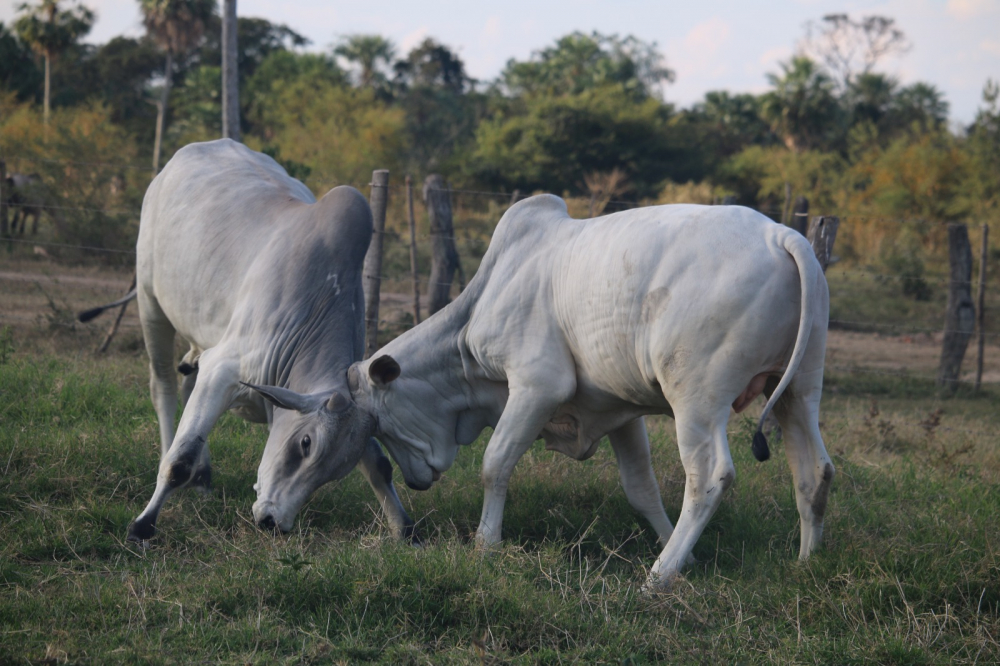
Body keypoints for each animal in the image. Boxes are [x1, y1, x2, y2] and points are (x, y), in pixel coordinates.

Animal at [113, 139, 414, 540]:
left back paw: (203, 478)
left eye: (337, 470)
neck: (315, 306)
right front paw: (143, 524)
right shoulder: (223, 368)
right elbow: (179, 460)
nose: (274, 522)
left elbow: (379, 465)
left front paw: (404, 528)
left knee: (187, 384)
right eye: (306, 443)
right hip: (150, 304)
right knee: (163, 387)